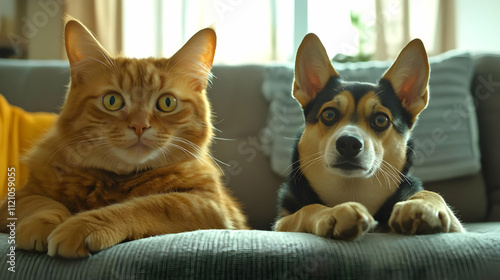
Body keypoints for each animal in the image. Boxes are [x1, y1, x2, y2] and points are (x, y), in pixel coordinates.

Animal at [0, 18, 249, 258]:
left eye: (167, 103)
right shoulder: (15, 200)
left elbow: (143, 205)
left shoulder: (209, 204)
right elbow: (42, 203)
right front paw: (42, 224)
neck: (116, 179)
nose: (139, 126)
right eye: (112, 101)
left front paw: (83, 225)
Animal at [274, 34, 464, 240]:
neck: (352, 189)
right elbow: (307, 209)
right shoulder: (282, 223)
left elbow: (431, 194)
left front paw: (423, 205)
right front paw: (334, 212)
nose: (348, 143)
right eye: (329, 115)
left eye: (381, 119)